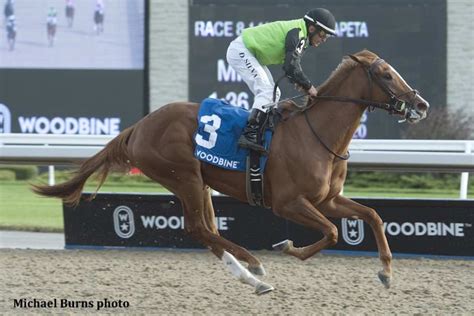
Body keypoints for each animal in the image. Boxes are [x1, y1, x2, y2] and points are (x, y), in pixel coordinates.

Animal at [32, 49, 430, 294]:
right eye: (385, 75)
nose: (421, 105)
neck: (315, 133)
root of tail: (139, 126)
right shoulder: (287, 203)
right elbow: (332, 233)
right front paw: (288, 247)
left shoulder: (327, 199)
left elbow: (373, 215)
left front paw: (386, 272)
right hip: (185, 176)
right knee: (198, 228)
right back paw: (254, 265)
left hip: (200, 184)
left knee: (207, 230)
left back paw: (251, 277)